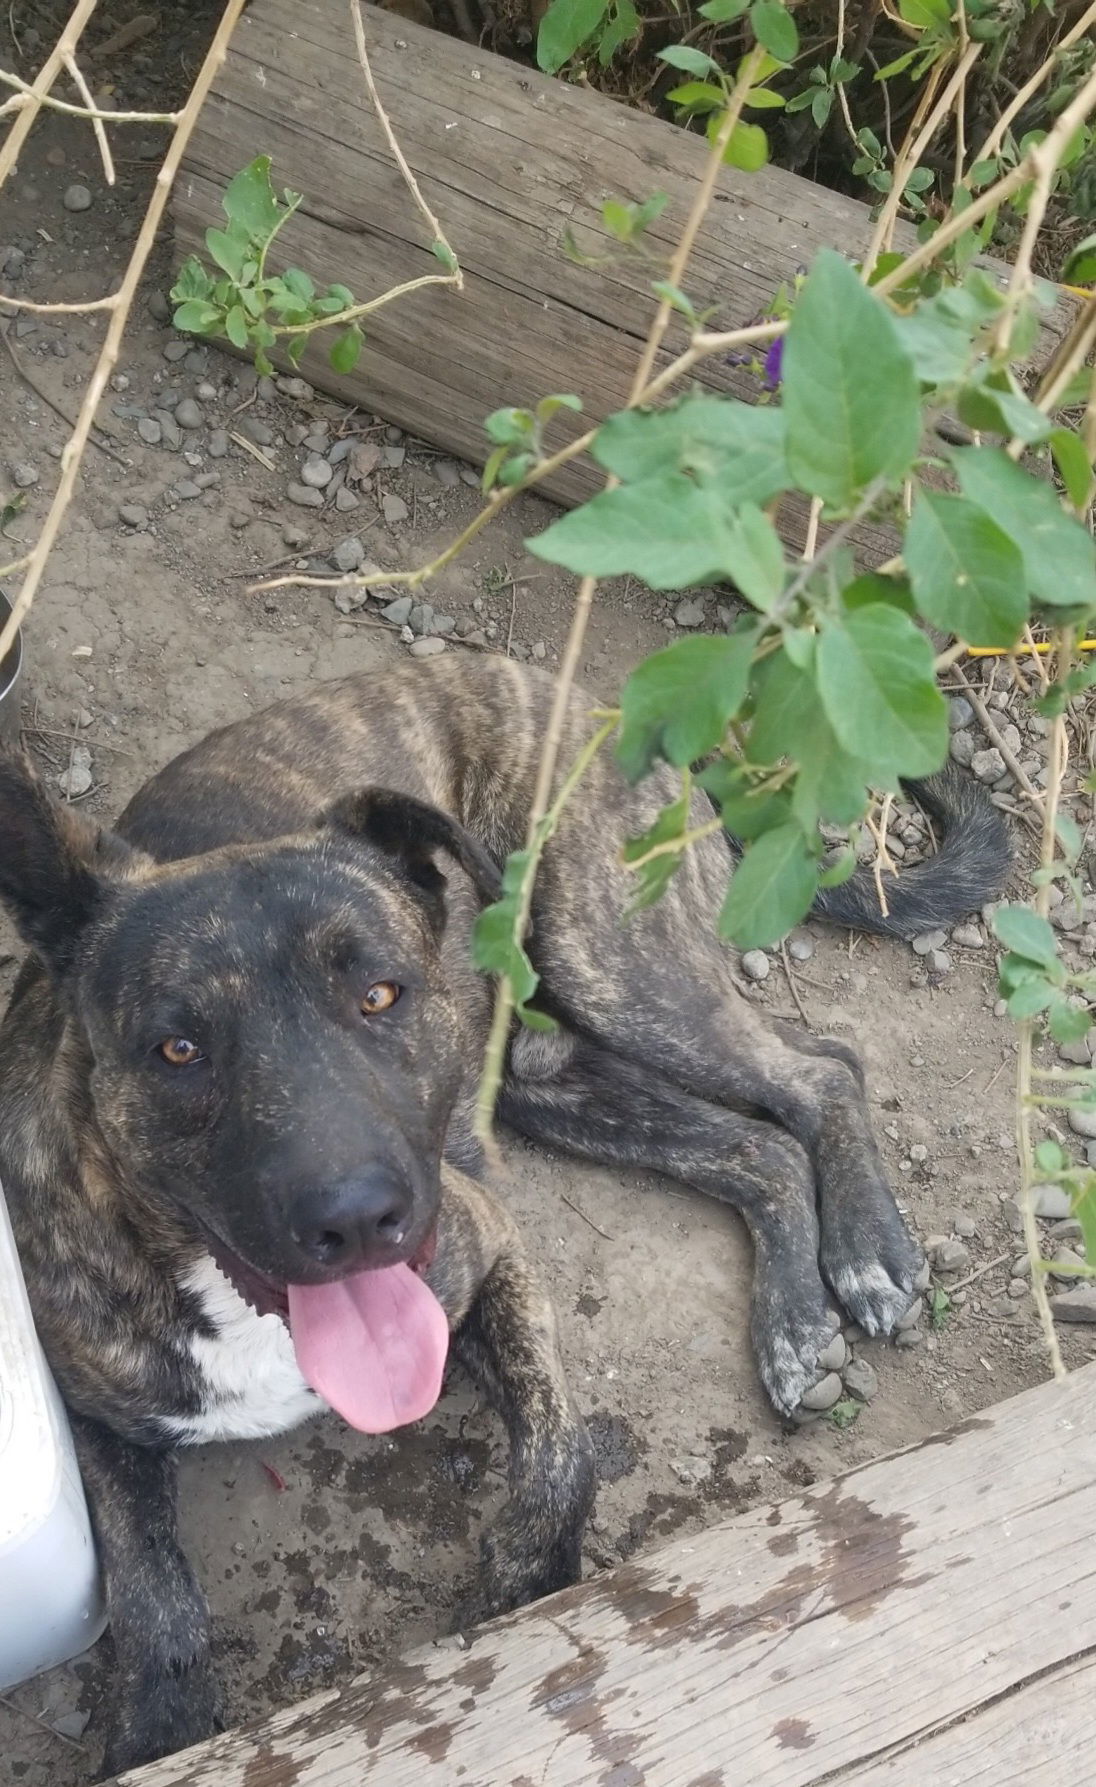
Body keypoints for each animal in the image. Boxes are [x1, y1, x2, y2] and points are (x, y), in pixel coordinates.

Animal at [0, 657, 1008, 1772]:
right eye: (177, 1048)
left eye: (382, 993)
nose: (360, 1217)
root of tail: (607, 704)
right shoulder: (95, 1410)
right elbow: (152, 1589)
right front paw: (164, 1725)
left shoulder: (486, 1248)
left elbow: (559, 1457)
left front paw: (530, 1586)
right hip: (551, 1072)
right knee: (758, 1146)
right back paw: (793, 1322)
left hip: (615, 967)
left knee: (820, 1070)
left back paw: (867, 1251)